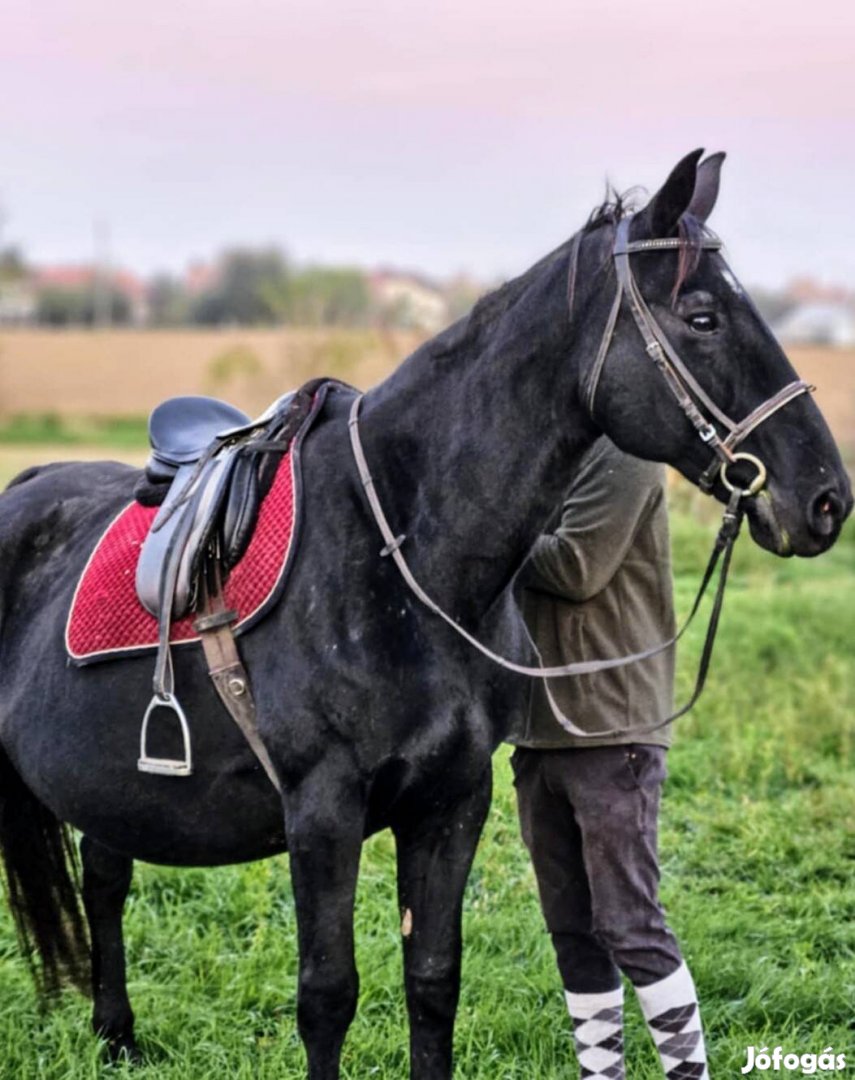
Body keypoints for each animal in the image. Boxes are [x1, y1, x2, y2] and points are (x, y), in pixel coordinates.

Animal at [0, 152, 846, 1080]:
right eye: (701, 317)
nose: (824, 498)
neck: (395, 555)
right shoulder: (323, 809)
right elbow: (327, 995)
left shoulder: (453, 800)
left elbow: (434, 978)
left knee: (104, 876)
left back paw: (116, 1035)